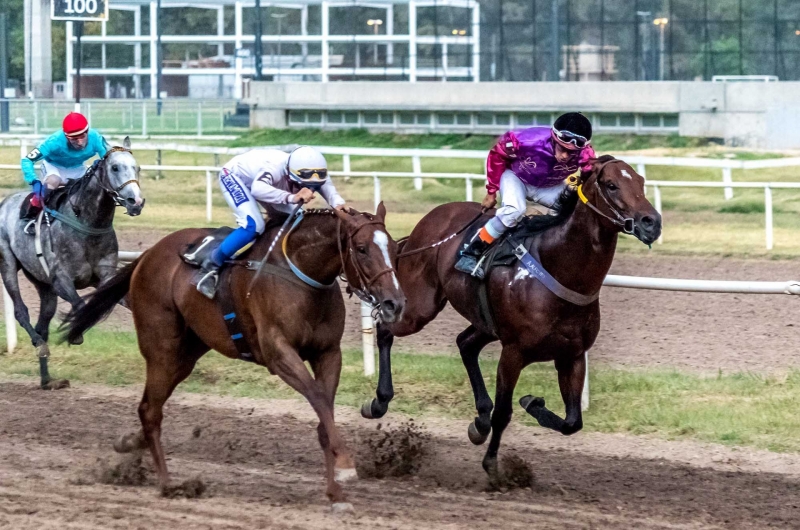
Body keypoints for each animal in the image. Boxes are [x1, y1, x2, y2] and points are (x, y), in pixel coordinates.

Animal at [61, 204, 406, 506]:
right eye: (361, 248)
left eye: (392, 246)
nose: (395, 303)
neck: (300, 273)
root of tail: (149, 254)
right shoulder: (278, 353)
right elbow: (319, 399)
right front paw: (346, 465)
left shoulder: (328, 353)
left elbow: (325, 414)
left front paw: (335, 493)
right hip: (162, 349)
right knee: (150, 411)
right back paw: (168, 483)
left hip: (187, 354)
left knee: (149, 407)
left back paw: (131, 444)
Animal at [362, 155, 664, 480]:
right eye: (611, 185)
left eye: (641, 182)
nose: (651, 222)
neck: (559, 267)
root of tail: (430, 220)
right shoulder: (514, 352)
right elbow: (504, 413)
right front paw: (493, 465)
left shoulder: (572, 355)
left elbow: (572, 422)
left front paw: (531, 403)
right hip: (419, 307)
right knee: (385, 328)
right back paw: (379, 402)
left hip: (485, 323)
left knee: (465, 344)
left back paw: (479, 421)